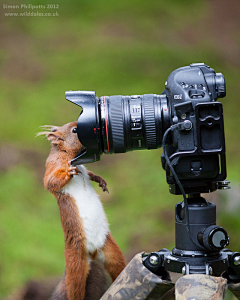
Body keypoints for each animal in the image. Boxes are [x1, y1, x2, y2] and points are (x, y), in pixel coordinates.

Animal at [37, 122, 126, 300]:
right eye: (74, 130)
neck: (70, 157)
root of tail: (92, 254)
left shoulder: (83, 168)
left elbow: (89, 173)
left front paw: (100, 180)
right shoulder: (53, 165)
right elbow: (51, 181)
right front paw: (68, 173)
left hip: (112, 251)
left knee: (119, 269)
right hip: (76, 265)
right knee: (75, 289)